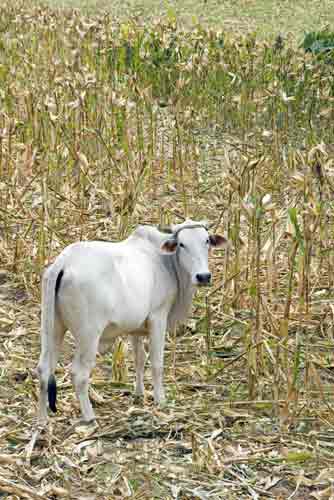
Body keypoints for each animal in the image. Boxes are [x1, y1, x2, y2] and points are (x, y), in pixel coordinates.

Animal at [36, 219, 226, 422]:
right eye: (182, 244)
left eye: (207, 241)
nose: (203, 276)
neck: (165, 261)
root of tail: (63, 262)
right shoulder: (158, 317)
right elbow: (157, 363)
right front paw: (160, 400)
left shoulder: (136, 328)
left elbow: (139, 359)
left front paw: (139, 394)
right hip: (89, 335)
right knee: (79, 374)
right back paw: (89, 417)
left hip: (53, 328)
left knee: (44, 369)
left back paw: (43, 419)